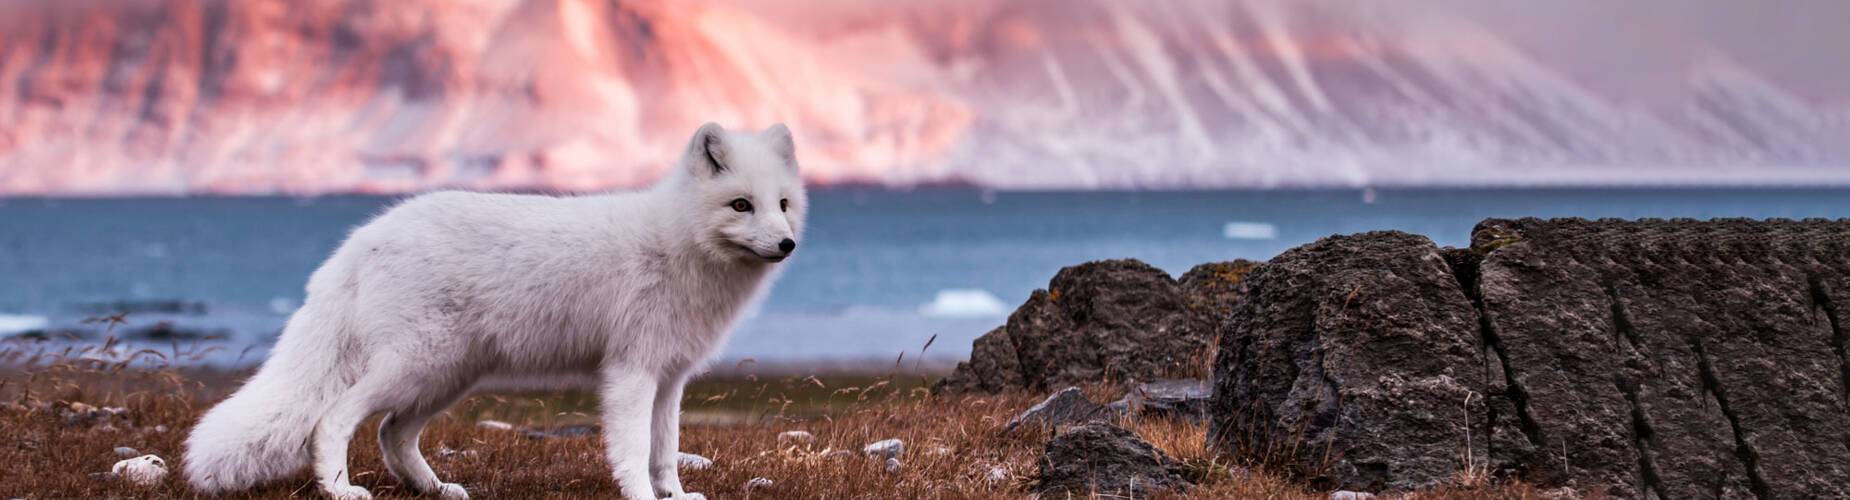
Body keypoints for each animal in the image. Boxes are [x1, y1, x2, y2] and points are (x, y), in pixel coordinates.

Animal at [182, 123, 807, 500]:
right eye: (740, 205)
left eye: (782, 205)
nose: (787, 244)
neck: (679, 242)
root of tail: (361, 240)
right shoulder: (631, 374)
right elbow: (633, 451)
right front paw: (640, 497)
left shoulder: (670, 377)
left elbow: (667, 451)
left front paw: (673, 496)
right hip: (415, 366)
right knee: (332, 420)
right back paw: (340, 490)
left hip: (447, 376)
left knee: (391, 434)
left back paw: (436, 490)